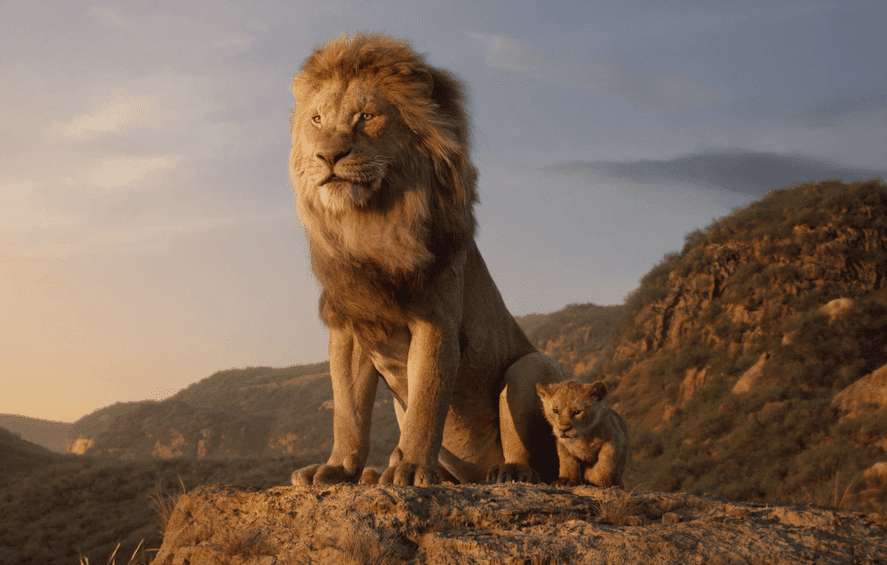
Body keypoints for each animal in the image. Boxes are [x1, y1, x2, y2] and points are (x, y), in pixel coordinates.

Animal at [288, 33, 563, 487]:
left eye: (366, 116)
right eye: (317, 120)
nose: (328, 156)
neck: (370, 225)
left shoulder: (436, 320)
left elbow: (427, 401)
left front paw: (412, 468)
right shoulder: (350, 327)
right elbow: (348, 411)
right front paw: (338, 468)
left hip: (530, 368)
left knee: (535, 457)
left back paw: (508, 471)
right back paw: (375, 474)